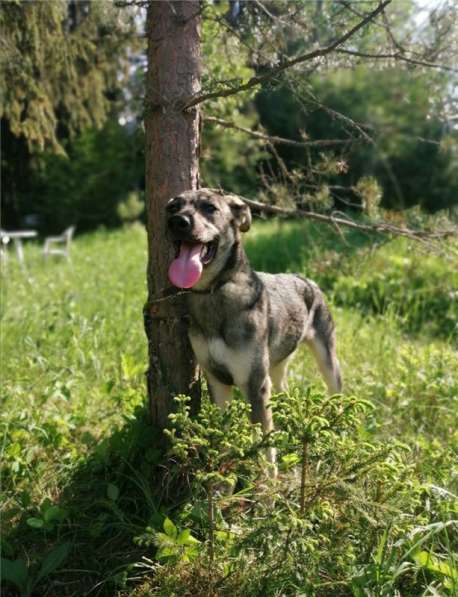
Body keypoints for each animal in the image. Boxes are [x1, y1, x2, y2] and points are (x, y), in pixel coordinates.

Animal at [166, 189, 342, 468]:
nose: (177, 222)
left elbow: (265, 445)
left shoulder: (254, 383)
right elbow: (223, 432)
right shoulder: (216, 380)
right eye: (171, 207)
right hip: (277, 364)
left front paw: (268, 479)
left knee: (336, 391)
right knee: (283, 389)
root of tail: (305, 279)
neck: (214, 291)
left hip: (327, 357)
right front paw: (222, 473)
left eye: (209, 207)